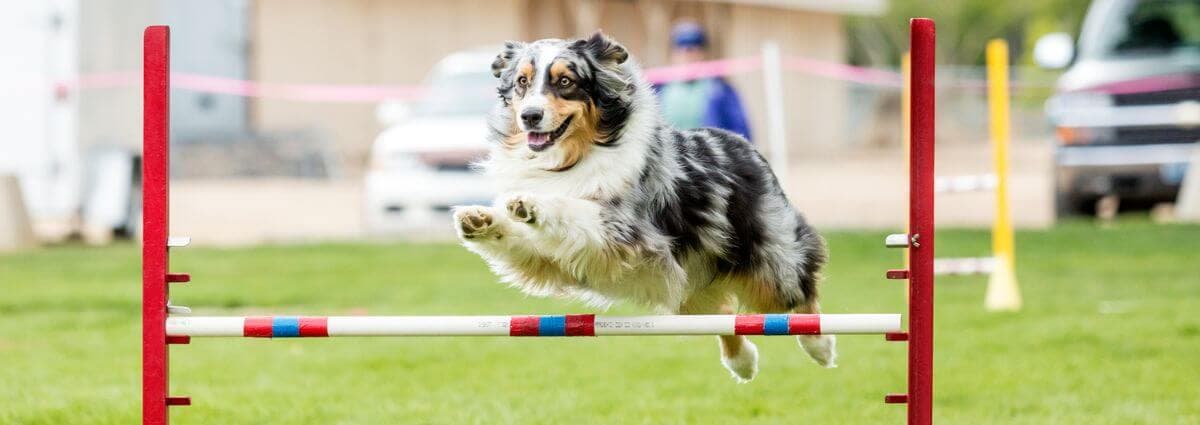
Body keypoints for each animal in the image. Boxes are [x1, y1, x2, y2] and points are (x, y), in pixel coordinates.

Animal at [451, 31, 835, 379]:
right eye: (522, 82)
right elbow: (520, 238)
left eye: (565, 81)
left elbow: (574, 208)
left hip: (771, 258)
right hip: (691, 286)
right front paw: (480, 220)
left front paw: (534, 203)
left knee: (799, 295)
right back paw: (742, 363)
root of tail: (743, 144)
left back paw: (820, 345)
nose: (529, 116)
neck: (571, 157)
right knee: (726, 314)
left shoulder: (624, 231)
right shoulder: (551, 259)